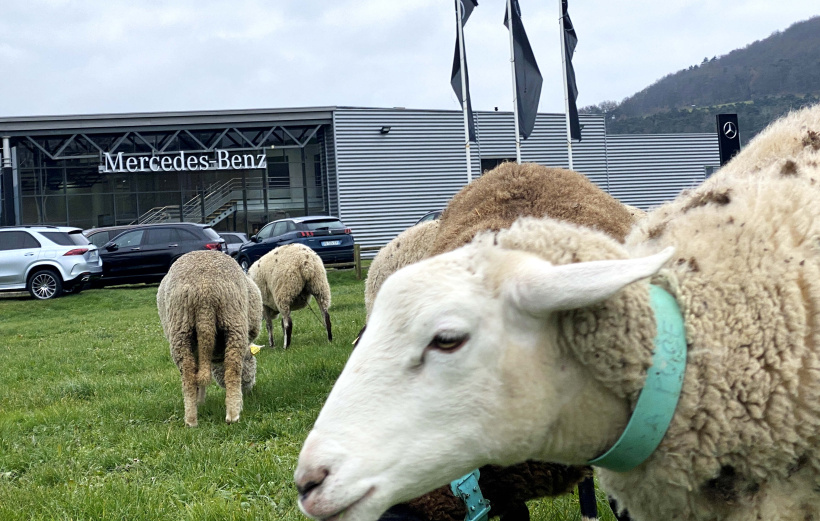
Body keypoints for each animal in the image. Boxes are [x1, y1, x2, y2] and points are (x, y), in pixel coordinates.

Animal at [157, 249, 262, 426]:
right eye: (251, 361)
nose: (250, 388)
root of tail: (203, 292)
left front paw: (200, 400)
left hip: (180, 328)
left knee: (188, 375)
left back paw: (191, 420)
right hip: (234, 320)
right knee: (232, 369)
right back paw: (233, 414)